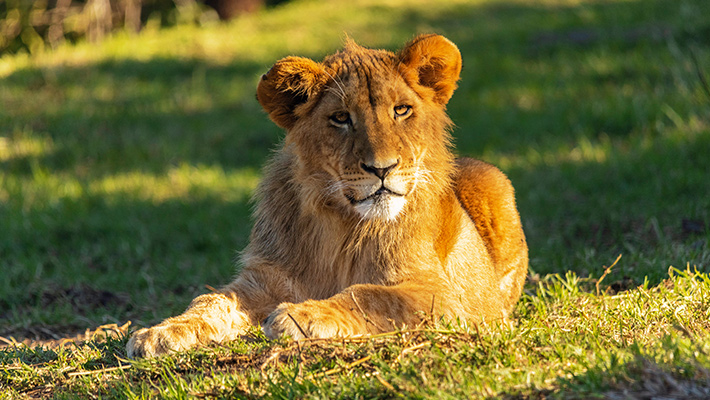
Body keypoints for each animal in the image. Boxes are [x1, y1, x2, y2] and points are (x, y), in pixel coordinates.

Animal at [126, 34, 528, 358]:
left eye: (401, 110)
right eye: (340, 118)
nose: (382, 168)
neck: (341, 224)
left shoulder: (445, 296)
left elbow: (370, 295)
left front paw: (301, 315)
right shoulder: (263, 279)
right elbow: (210, 301)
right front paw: (160, 332)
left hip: (493, 181)